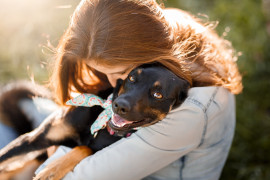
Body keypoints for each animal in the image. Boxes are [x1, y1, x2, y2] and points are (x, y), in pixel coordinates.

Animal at [0, 63, 190, 179]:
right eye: (131, 78)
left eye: (158, 94)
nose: (119, 105)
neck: (101, 125)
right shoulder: (34, 139)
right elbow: (4, 157)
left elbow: (84, 148)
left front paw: (53, 169)